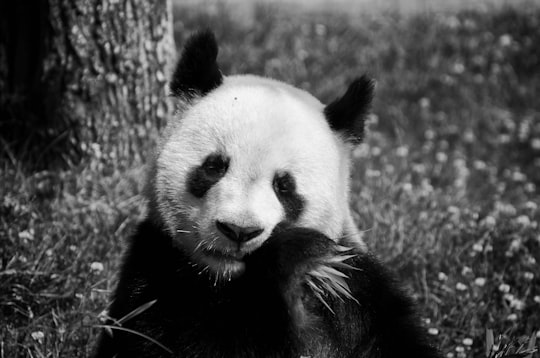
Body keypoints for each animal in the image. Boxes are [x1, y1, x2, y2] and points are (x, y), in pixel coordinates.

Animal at [92, 30, 438, 358]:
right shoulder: (158, 268)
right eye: (214, 167)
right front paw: (295, 256)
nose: (238, 231)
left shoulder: (363, 295)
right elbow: (164, 339)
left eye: (284, 186)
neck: (229, 278)